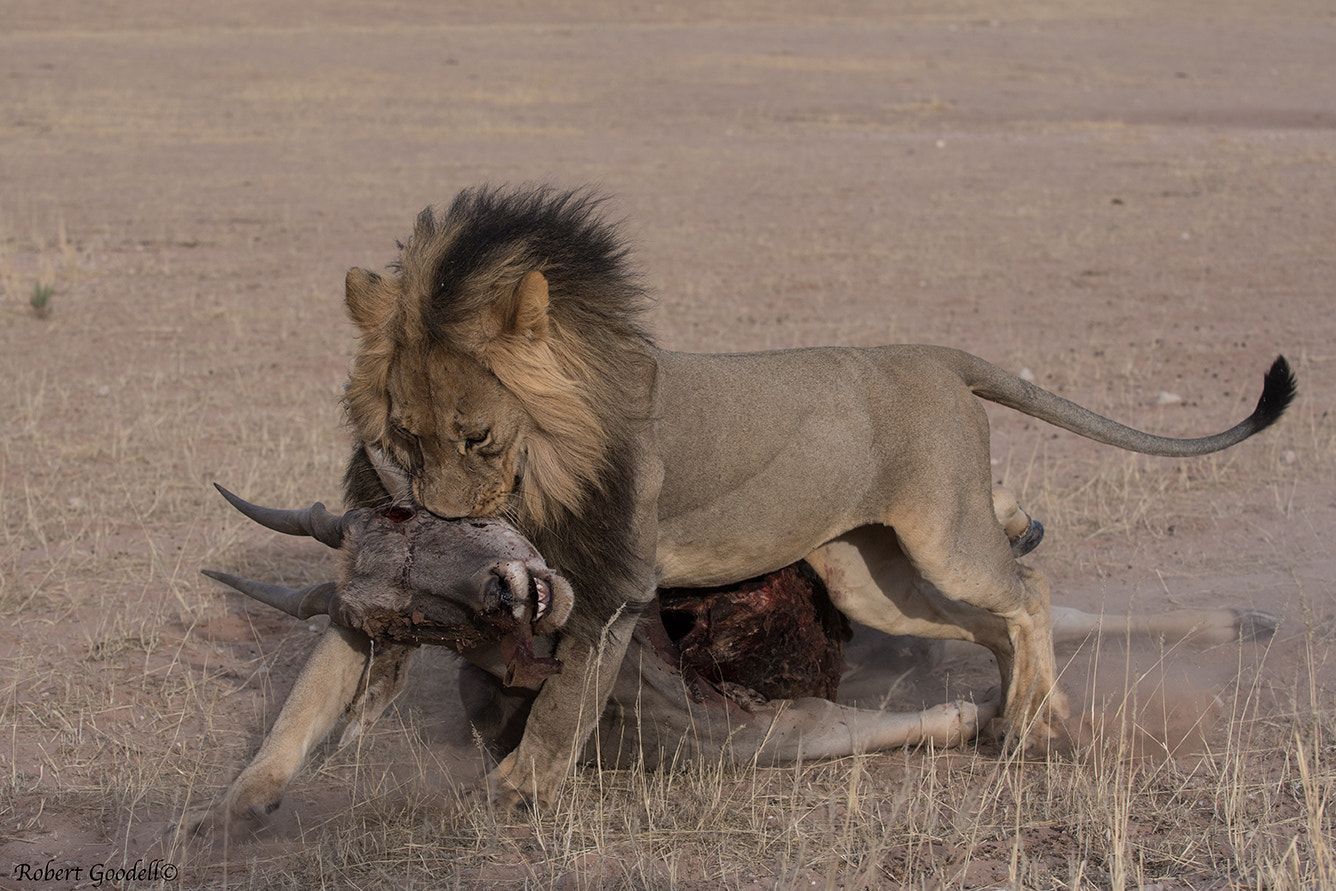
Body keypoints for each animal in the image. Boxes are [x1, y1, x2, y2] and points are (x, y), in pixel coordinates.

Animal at [204, 185, 1297, 821]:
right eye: (400, 440)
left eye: (476, 436)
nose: (439, 521)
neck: (544, 467)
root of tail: (931, 353)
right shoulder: (369, 600)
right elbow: (303, 704)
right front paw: (230, 808)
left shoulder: (611, 582)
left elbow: (564, 701)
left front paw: (518, 787)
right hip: (868, 574)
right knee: (989, 625)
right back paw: (1020, 719)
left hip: (942, 534)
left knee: (1024, 596)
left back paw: (1031, 726)